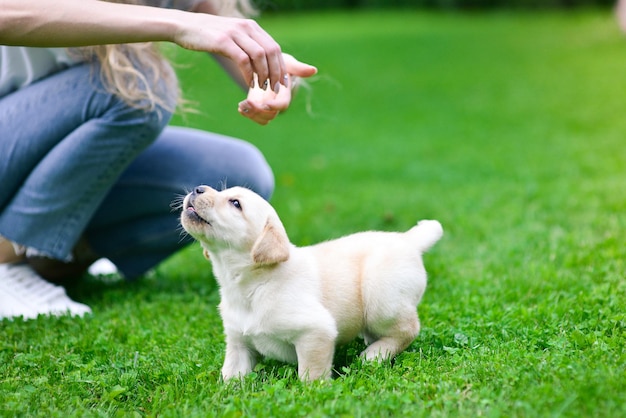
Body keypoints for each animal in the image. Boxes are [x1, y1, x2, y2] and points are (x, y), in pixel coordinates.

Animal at [180, 185, 442, 380]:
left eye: (235, 203)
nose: (197, 188)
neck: (251, 285)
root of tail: (408, 240)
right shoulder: (238, 343)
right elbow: (231, 375)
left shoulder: (316, 332)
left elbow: (310, 374)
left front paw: (315, 393)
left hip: (381, 298)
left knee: (408, 329)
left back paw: (374, 354)